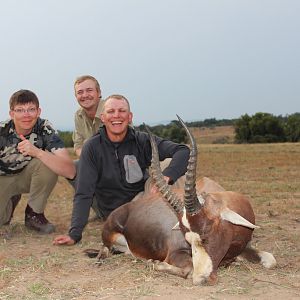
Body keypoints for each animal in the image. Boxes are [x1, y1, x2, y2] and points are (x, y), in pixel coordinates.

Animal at [89, 116, 276, 284]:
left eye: (206, 235)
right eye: (188, 239)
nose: (202, 279)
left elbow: (271, 260)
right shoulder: (176, 253)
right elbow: (189, 269)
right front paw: (155, 263)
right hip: (109, 235)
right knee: (105, 248)